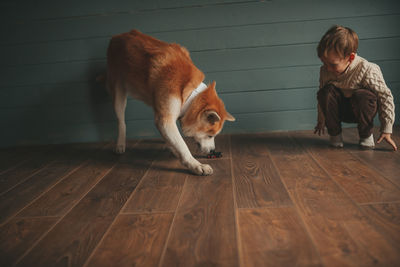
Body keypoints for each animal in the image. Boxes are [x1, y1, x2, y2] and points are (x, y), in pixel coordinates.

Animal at [104, 29, 234, 176]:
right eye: (210, 135)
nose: (213, 151)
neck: (189, 92)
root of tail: (118, 36)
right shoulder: (165, 119)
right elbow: (182, 145)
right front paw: (196, 165)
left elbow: (174, 140)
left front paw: (173, 149)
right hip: (118, 93)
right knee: (121, 121)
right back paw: (120, 144)